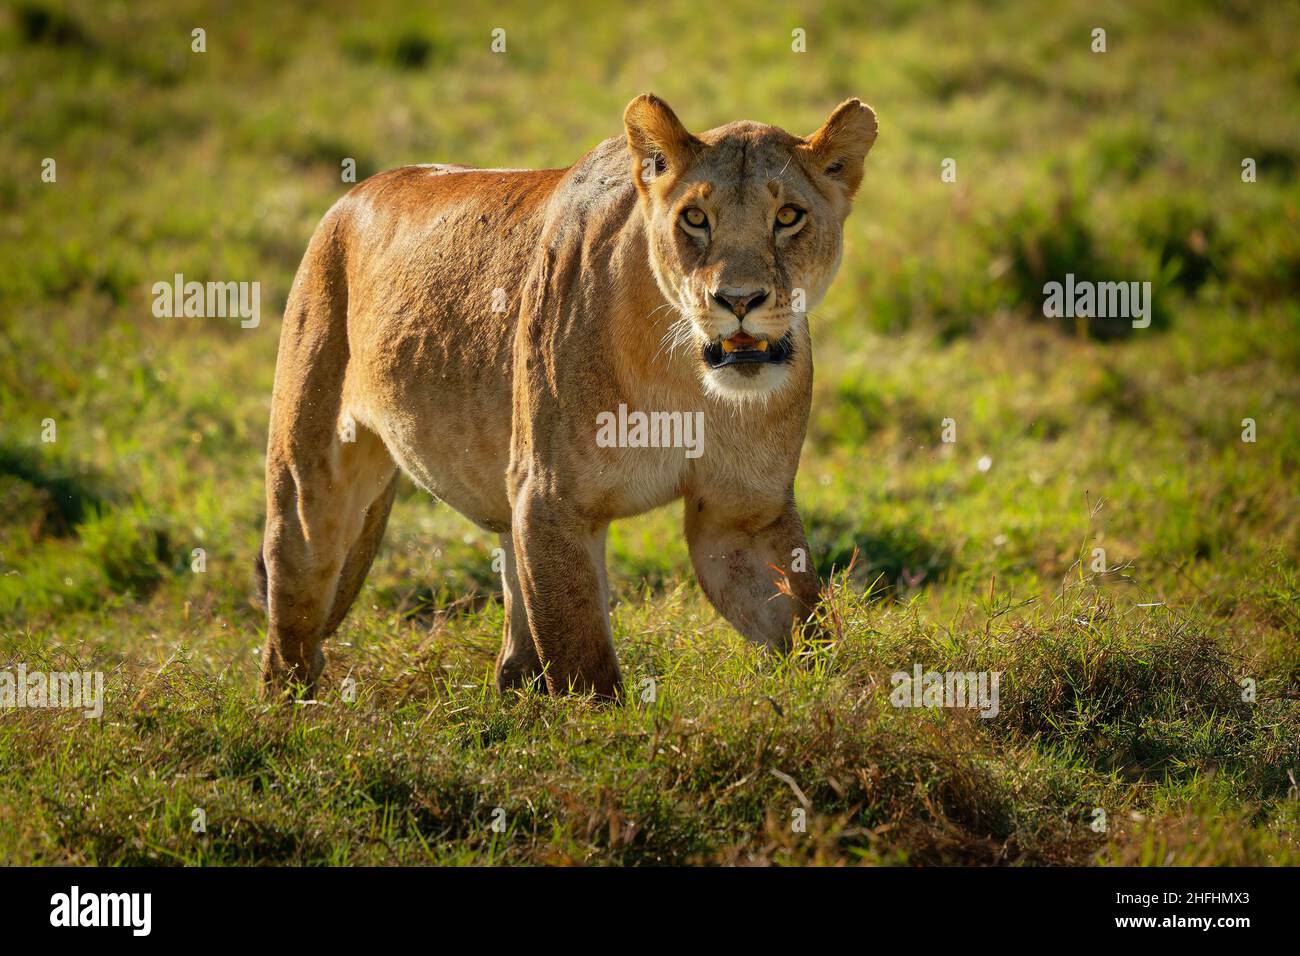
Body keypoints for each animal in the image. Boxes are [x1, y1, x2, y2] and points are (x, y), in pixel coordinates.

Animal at [256, 94, 878, 699]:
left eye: (789, 216)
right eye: (695, 218)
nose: (739, 300)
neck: (685, 376)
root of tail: (352, 195)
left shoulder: (742, 513)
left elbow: (807, 628)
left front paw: (845, 699)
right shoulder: (552, 499)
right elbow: (585, 666)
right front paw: (603, 728)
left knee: (515, 651)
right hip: (310, 492)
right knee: (290, 633)